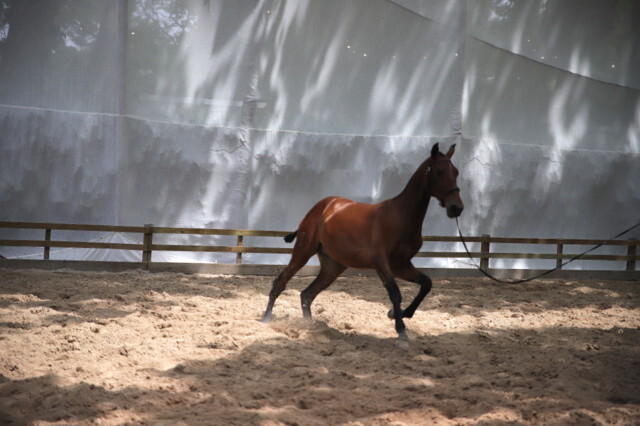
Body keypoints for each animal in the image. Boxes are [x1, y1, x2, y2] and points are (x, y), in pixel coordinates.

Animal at [262, 143, 462, 350]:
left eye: (456, 172)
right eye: (438, 172)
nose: (456, 208)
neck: (400, 217)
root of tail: (322, 206)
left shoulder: (401, 265)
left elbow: (426, 284)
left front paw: (395, 314)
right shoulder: (382, 264)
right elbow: (395, 294)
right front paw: (401, 332)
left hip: (333, 266)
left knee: (307, 295)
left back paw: (311, 327)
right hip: (303, 252)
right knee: (281, 283)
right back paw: (267, 319)